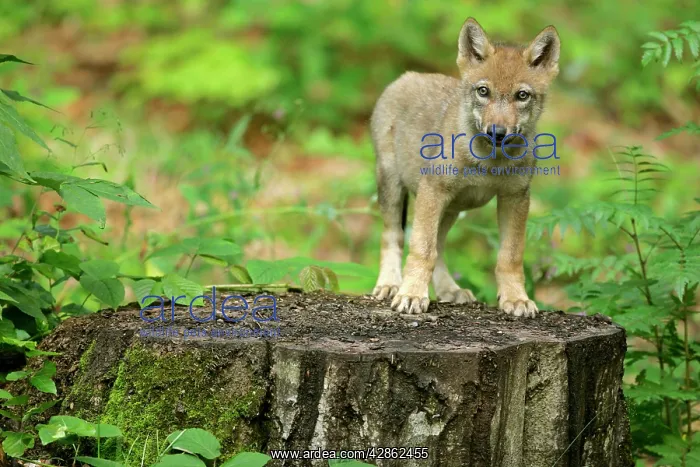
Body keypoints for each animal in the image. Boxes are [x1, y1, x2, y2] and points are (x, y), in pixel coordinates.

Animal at [370, 17, 560, 317]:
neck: (489, 162)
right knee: (394, 237)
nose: (497, 132)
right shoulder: (432, 191)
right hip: (393, 188)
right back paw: (390, 285)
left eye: (522, 95)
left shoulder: (516, 198)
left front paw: (516, 299)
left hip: (451, 209)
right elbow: (421, 250)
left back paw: (450, 290)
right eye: (483, 91)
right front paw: (411, 295)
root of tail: (406, 76)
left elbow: (510, 256)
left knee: (439, 246)